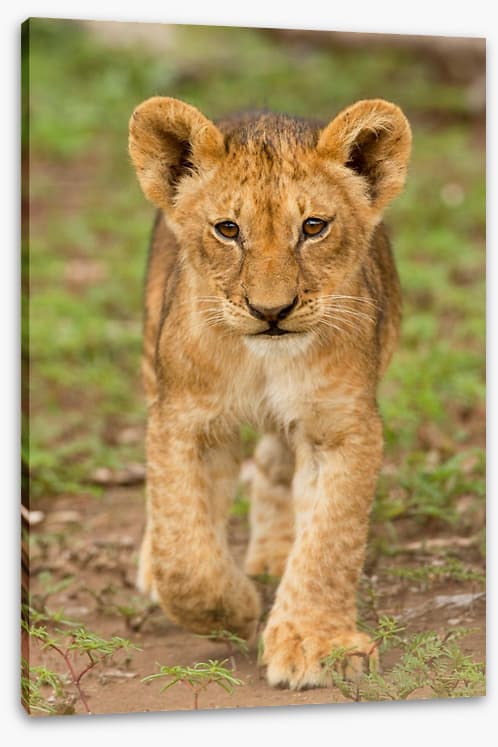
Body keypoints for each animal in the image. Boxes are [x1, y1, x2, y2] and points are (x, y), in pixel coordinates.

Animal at [128, 96, 411, 690]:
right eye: (228, 229)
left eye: (313, 226)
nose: (271, 310)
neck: (263, 362)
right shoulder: (184, 417)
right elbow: (183, 547)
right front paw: (232, 611)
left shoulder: (341, 424)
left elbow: (331, 537)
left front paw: (316, 643)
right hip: (149, 356)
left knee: (276, 468)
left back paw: (277, 555)